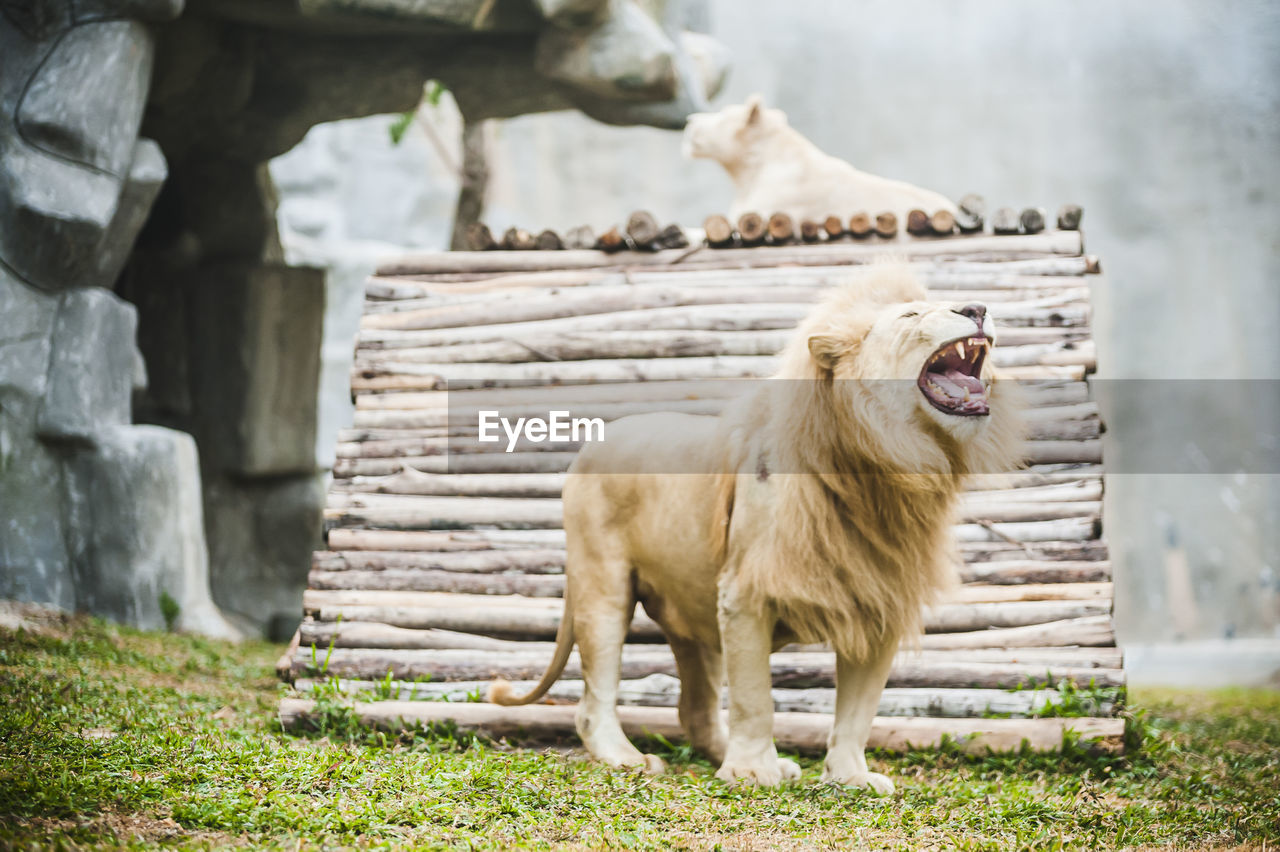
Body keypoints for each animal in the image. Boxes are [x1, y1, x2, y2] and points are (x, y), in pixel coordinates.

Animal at [488, 263, 1018, 788]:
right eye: (911, 315)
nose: (977, 308)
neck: (884, 472)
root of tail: (592, 444)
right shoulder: (745, 593)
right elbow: (754, 696)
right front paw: (751, 772)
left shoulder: (880, 596)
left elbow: (858, 710)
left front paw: (850, 777)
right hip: (604, 585)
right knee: (595, 693)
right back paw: (627, 758)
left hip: (693, 610)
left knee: (694, 709)